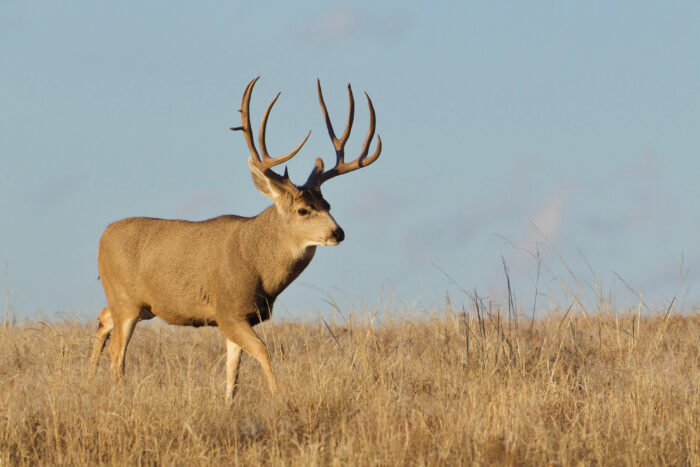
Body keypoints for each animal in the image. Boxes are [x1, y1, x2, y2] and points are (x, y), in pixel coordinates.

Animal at [88, 77, 382, 402]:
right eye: (303, 210)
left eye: (328, 204)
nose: (337, 232)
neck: (258, 265)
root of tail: (102, 237)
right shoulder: (228, 310)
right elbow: (264, 352)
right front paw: (278, 396)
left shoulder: (243, 317)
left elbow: (233, 374)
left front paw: (229, 405)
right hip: (125, 299)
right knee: (117, 355)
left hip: (140, 305)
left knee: (102, 320)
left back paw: (86, 380)